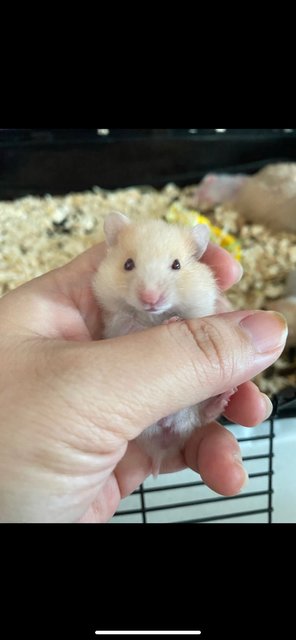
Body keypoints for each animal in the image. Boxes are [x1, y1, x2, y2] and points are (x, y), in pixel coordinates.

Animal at [93, 211, 235, 476]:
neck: (152, 316)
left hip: (192, 408)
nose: (150, 299)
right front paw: (163, 322)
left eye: (176, 265)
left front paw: (174, 319)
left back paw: (225, 396)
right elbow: (128, 325)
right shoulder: (115, 324)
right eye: (128, 264)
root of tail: (162, 444)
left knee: (203, 416)